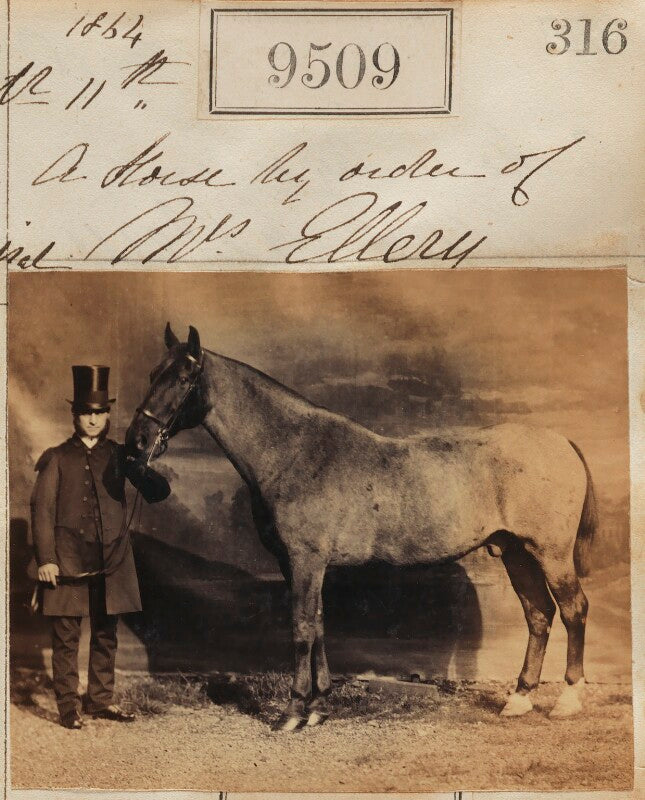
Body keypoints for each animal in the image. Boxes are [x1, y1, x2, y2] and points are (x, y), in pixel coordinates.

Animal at [125, 324, 597, 731]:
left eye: (183, 377)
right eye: (150, 374)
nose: (136, 441)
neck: (294, 451)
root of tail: (562, 443)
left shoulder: (306, 560)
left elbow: (301, 627)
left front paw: (292, 712)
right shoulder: (301, 565)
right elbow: (318, 624)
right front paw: (318, 707)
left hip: (551, 553)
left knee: (573, 610)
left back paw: (569, 699)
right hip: (516, 552)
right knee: (539, 614)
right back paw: (519, 699)